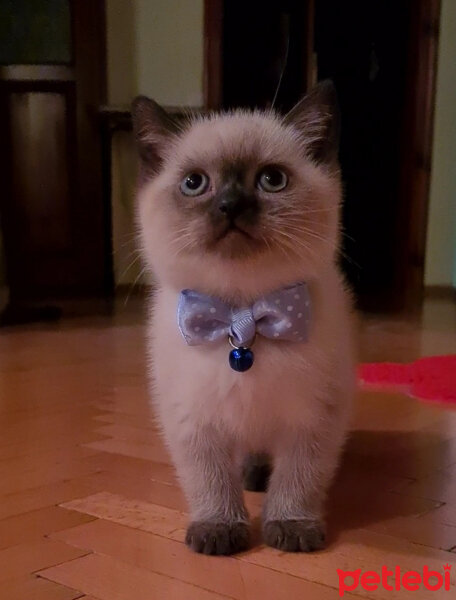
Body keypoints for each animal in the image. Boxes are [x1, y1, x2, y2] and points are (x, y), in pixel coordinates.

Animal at [130, 82, 354, 556]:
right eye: (194, 183)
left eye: (272, 180)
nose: (231, 205)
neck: (242, 313)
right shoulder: (195, 423)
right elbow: (211, 482)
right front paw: (219, 528)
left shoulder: (313, 421)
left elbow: (298, 480)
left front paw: (291, 526)